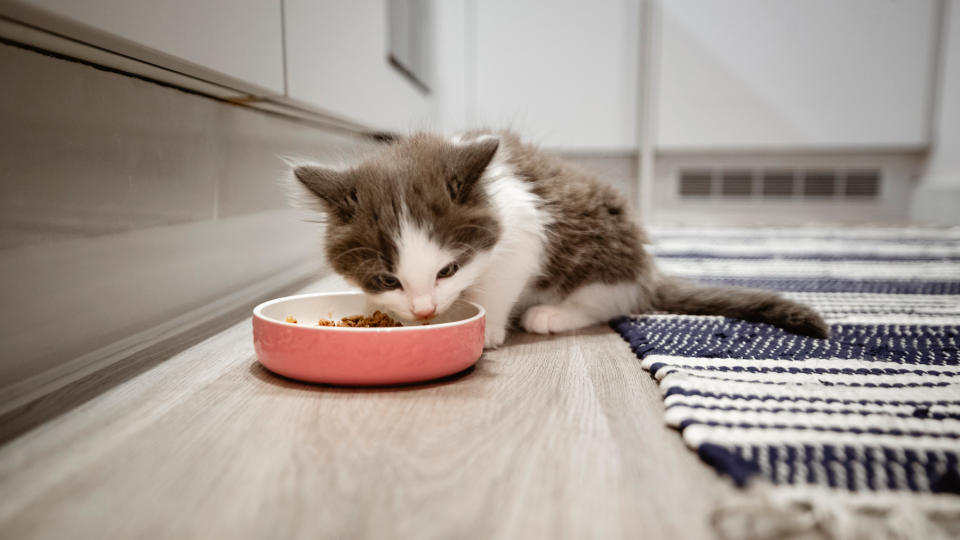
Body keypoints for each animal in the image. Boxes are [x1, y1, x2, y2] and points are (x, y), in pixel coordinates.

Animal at [290, 133, 824, 348]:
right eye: (387, 279)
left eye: (448, 270)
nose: (424, 311)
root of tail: (647, 268)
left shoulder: (524, 233)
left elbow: (499, 284)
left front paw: (487, 330)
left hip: (600, 249)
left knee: (610, 300)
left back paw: (551, 314)